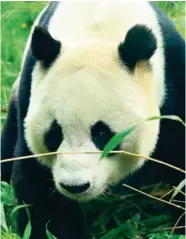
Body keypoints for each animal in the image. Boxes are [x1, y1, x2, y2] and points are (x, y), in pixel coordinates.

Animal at [1, 1, 185, 239]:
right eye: (54, 134)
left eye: (102, 134)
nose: (75, 186)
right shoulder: (30, 89)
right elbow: (36, 182)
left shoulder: (174, 78)